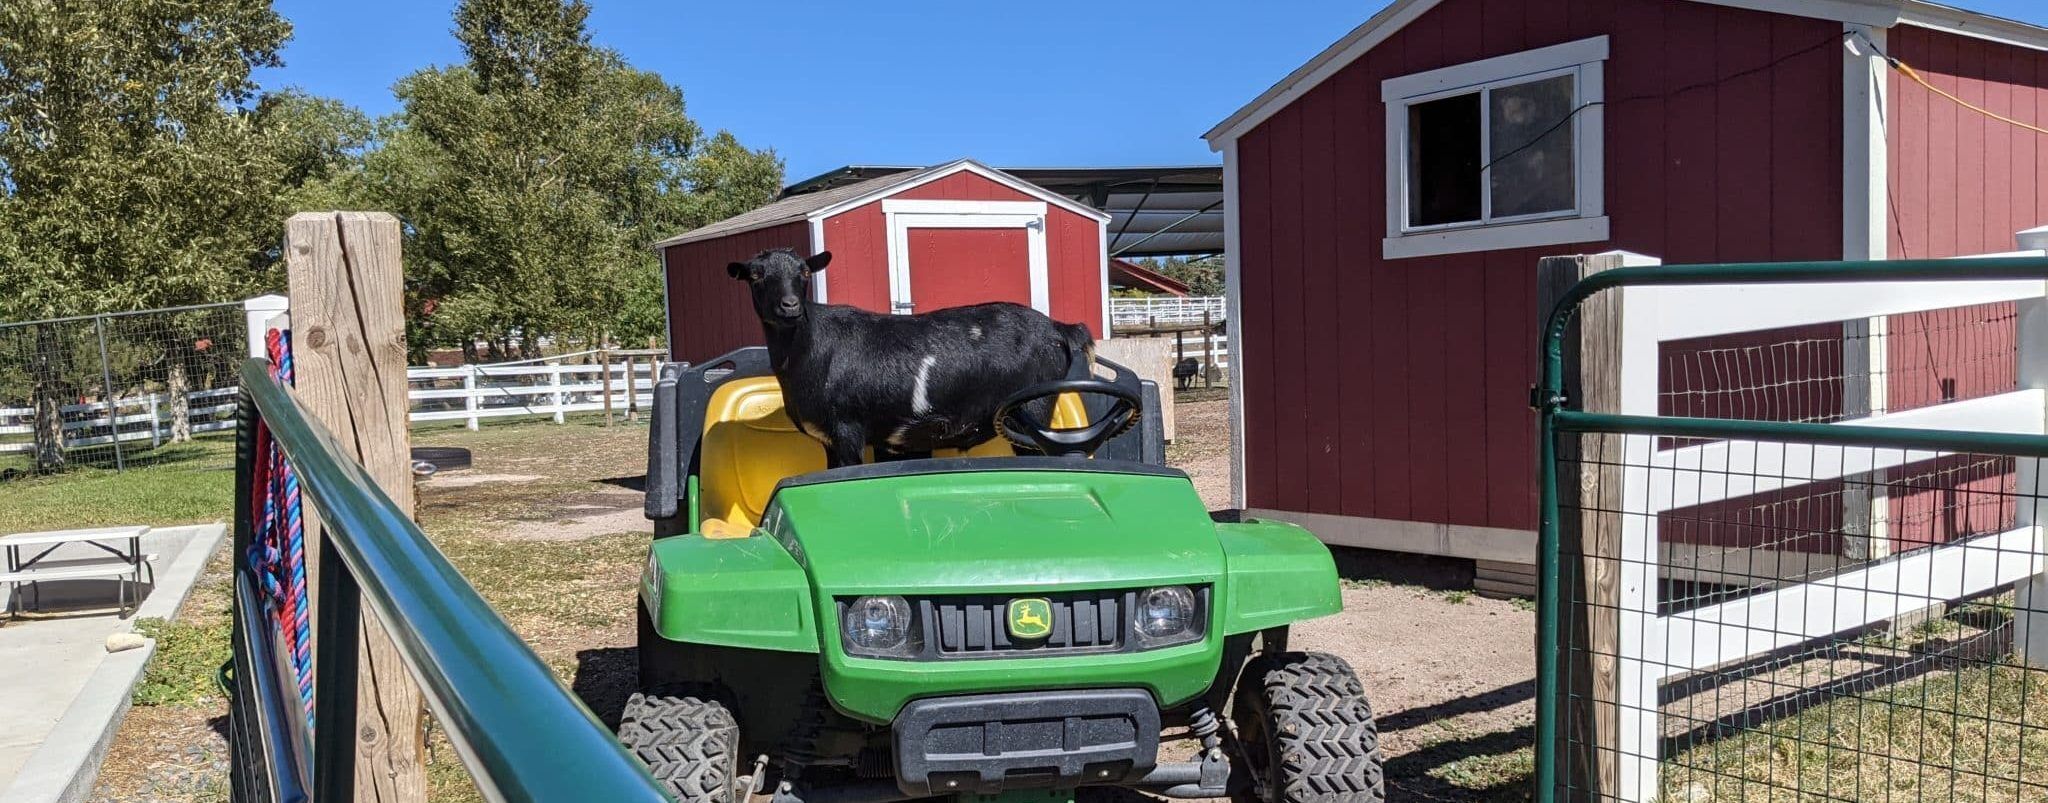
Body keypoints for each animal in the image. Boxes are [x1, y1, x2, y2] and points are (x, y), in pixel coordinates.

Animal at [729, 247, 1097, 467]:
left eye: (804, 272)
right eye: (756, 275)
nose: (790, 306)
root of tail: (1060, 328)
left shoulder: (848, 430)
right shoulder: (830, 440)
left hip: (1032, 408)